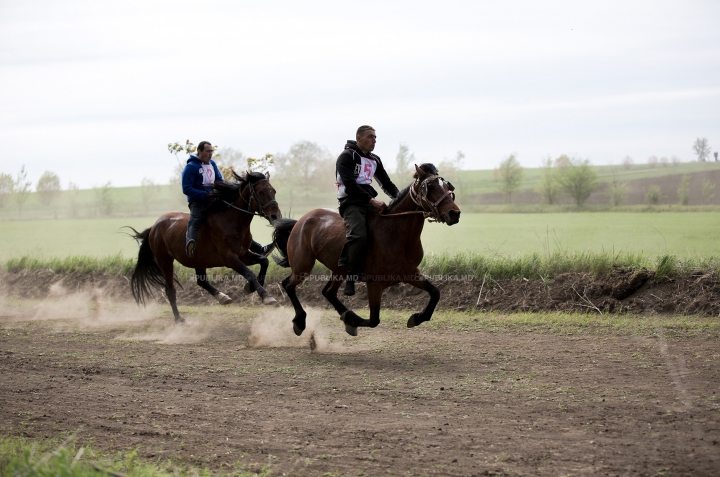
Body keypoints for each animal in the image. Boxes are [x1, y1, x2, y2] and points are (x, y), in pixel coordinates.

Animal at [129, 169, 282, 322]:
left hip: (197, 259)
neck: (231, 220)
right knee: (170, 289)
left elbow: (264, 261)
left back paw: (222, 297)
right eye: (261, 192)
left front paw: (250, 288)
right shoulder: (229, 258)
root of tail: (154, 227)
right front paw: (266, 297)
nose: (276, 217)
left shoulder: (243, 254)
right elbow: (249, 273)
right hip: (165, 261)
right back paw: (179, 318)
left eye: (274, 191)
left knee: (201, 281)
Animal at [270, 164, 462, 334]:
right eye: (430, 186)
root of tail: (301, 221)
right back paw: (300, 321)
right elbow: (373, 319)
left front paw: (417, 317)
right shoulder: (374, 282)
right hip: (303, 266)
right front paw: (352, 320)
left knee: (328, 292)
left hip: (339, 270)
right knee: (288, 284)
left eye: (447, 186)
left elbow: (435, 292)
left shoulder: (409, 272)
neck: (396, 232)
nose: (454, 213)